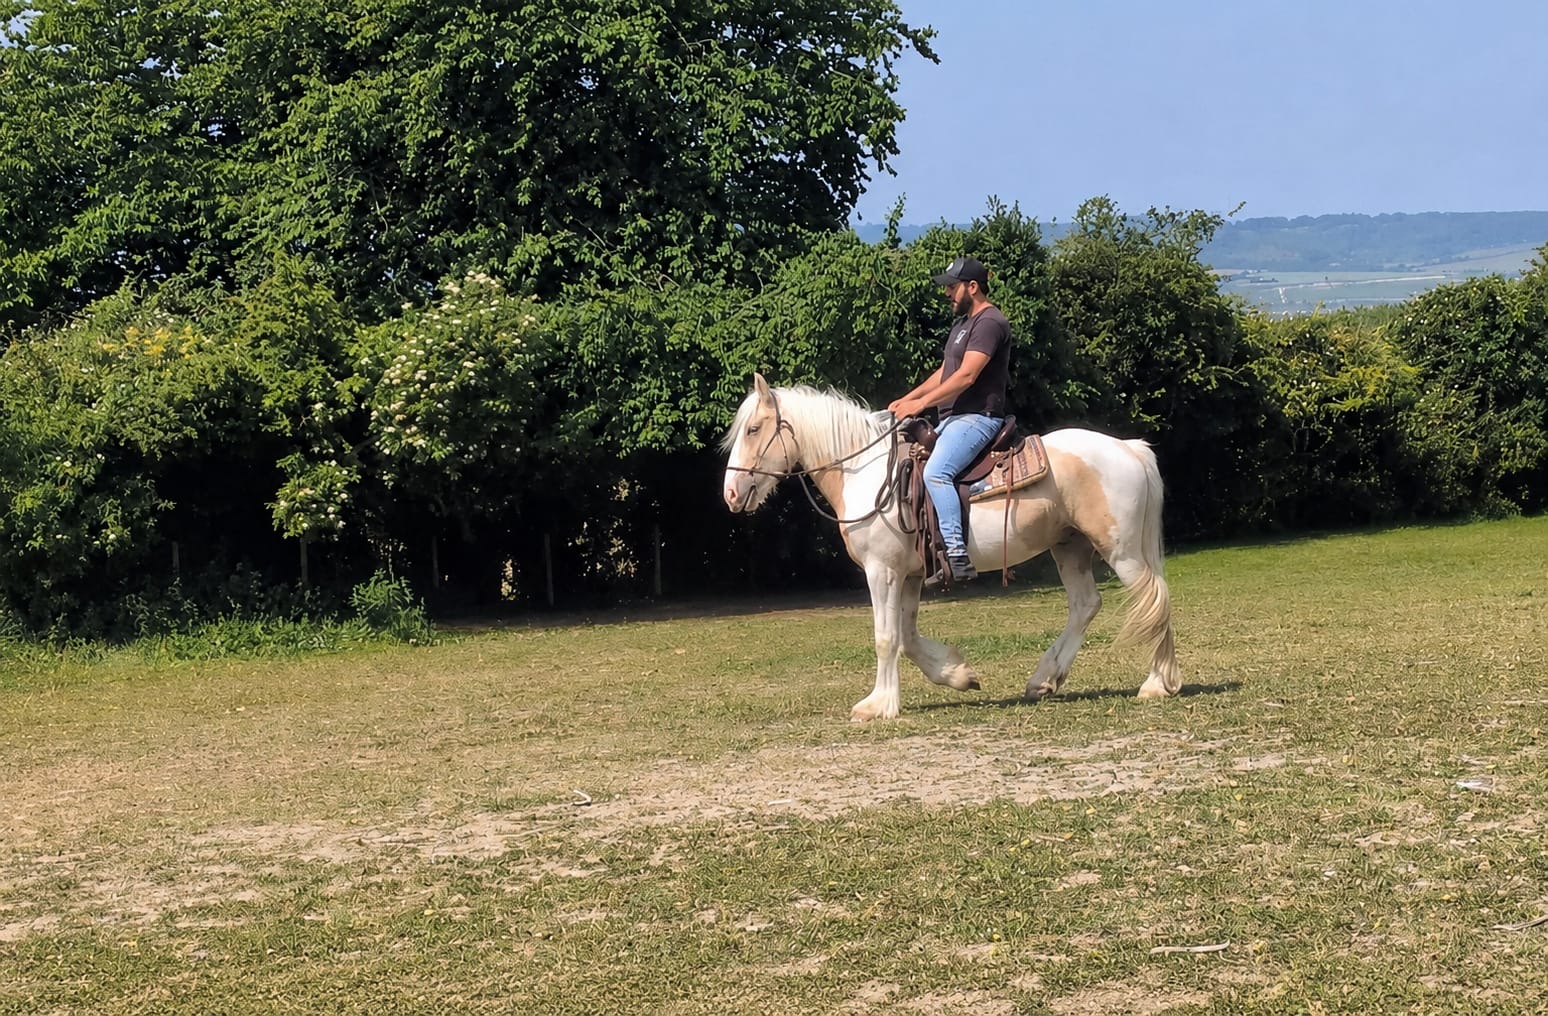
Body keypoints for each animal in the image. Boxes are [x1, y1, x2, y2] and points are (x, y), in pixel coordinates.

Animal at [721, 374, 1179, 721]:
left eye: (754, 429)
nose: (731, 493)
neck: (866, 473)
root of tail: (1128, 449)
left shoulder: (882, 571)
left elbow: (886, 637)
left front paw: (877, 706)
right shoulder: (908, 575)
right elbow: (906, 637)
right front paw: (959, 675)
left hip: (1120, 551)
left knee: (1154, 598)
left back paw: (1157, 683)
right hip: (1070, 548)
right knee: (1087, 605)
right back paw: (1044, 680)